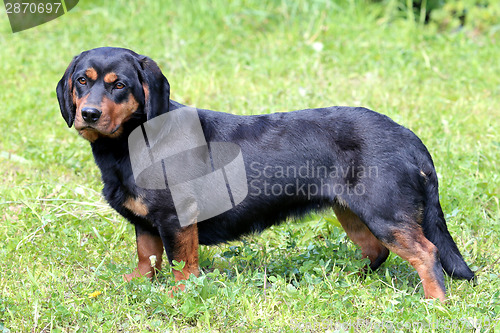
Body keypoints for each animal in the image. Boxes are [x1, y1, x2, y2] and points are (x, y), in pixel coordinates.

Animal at [56, 46, 474, 298]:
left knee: (426, 252)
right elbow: (148, 256)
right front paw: (141, 283)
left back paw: (434, 301)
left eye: (120, 86)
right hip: (351, 211)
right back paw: (345, 279)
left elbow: (180, 264)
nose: (88, 114)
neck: (130, 143)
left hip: (384, 213)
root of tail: (408, 138)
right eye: (82, 80)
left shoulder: (177, 218)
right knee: (376, 251)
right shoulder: (146, 222)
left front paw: (179, 296)